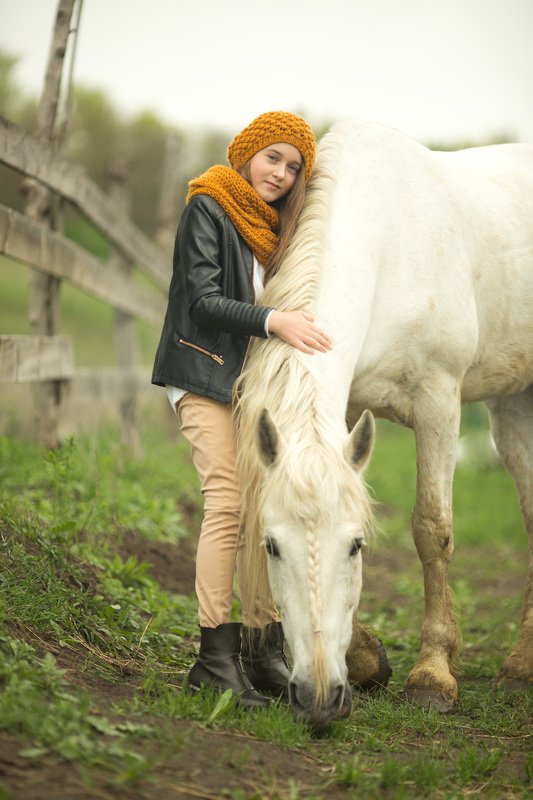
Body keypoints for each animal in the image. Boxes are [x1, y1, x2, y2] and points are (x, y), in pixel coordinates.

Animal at [235, 118, 533, 727]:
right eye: (271, 546)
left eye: (355, 546)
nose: (318, 697)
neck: (386, 247)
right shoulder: (348, 412)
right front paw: (365, 659)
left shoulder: (440, 402)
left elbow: (432, 529)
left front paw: (432, 676)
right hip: (512, 404)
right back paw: (520, 668)